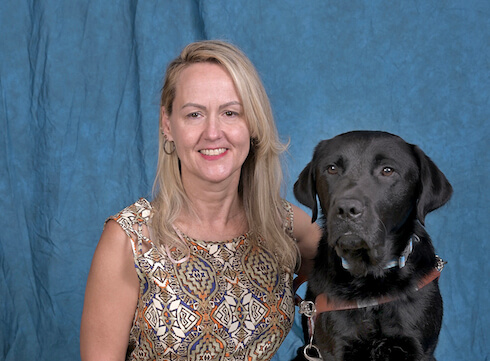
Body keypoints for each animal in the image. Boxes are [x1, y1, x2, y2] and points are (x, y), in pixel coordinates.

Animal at [292, 131, 454, 358]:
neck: (370, 278)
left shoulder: (420, 348)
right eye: (331, 168)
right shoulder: (333, 347)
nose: (346, 208)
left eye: (387, 170)